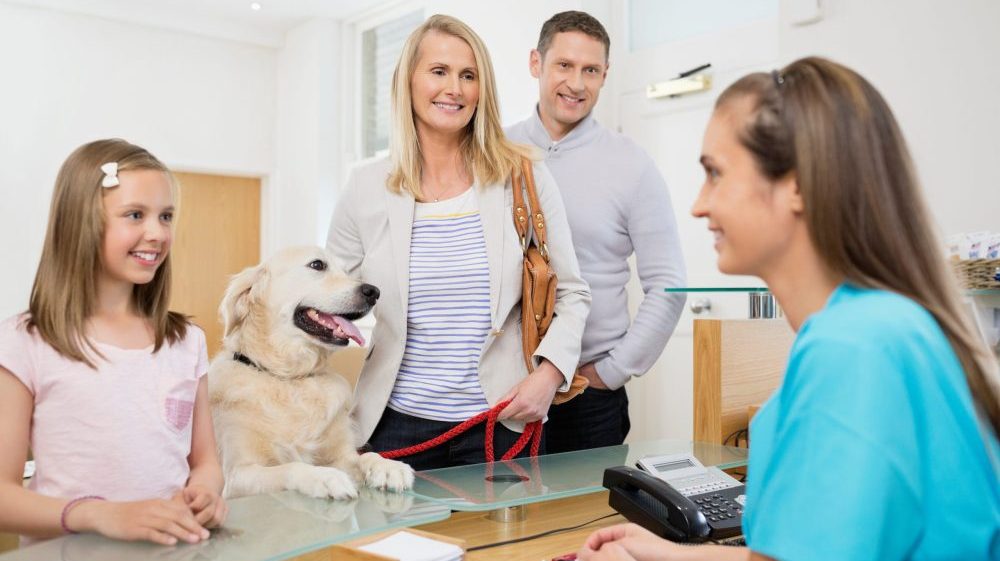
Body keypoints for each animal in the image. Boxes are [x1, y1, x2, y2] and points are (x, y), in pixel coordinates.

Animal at [211, 246, 414, 498]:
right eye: (317, 265)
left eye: (346, 272)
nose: (374, 292)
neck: (290, 378)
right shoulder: (237, 475)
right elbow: (291, 466)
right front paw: (324, 477)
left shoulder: (341, 456)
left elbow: (364, 455)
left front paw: (388, 467)